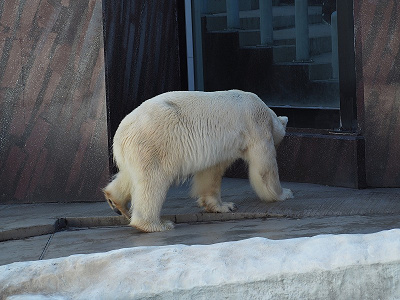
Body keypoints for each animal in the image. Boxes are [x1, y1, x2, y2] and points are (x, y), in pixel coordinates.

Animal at [101, 90, 292, 233]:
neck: (266, 112)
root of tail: (120, 133)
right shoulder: (256, 126)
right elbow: (264, 167)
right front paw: (284, 193)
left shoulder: (217, 148)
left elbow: (211, 172)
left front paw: (223, 206)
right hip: (154, 146)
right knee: (152, 183)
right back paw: (156, 225)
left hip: (134, 153)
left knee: (129, 176)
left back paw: (116, 202)